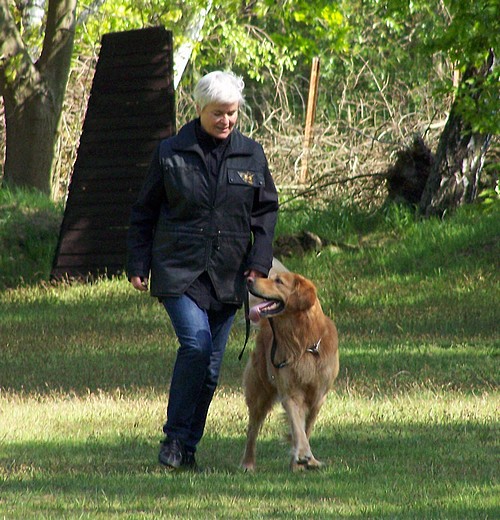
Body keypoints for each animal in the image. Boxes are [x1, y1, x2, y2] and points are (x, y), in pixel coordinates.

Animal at [240, 272, 338, 472]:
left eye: (278, 281)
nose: (249, 280)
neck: (303, 342)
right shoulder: (290, 393)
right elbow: (297, 426)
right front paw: (303, 454)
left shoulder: (318, 397)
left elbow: (306, 428)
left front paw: (302, 462)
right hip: (259, 392)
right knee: (252, 429)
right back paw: (248, 463)